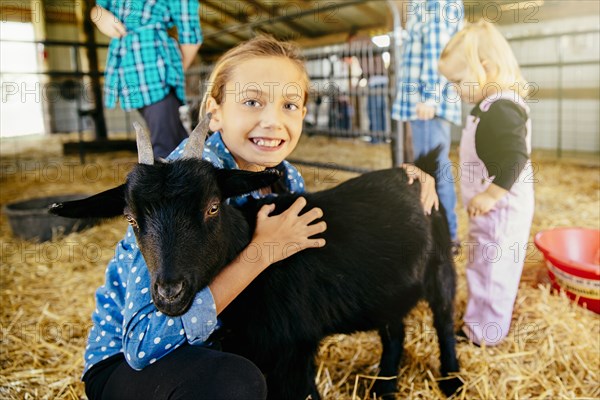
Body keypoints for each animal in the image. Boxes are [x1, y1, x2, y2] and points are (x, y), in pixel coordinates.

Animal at [51, 116, 462, 400]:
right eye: (131, 219)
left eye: (213, 206)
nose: (169, 293)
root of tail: (415, 171)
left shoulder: (294, 348)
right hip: (388, 289)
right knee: (394, 329)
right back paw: (384, 388)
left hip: (441, 268)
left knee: (443, 320)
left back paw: (452, 380)